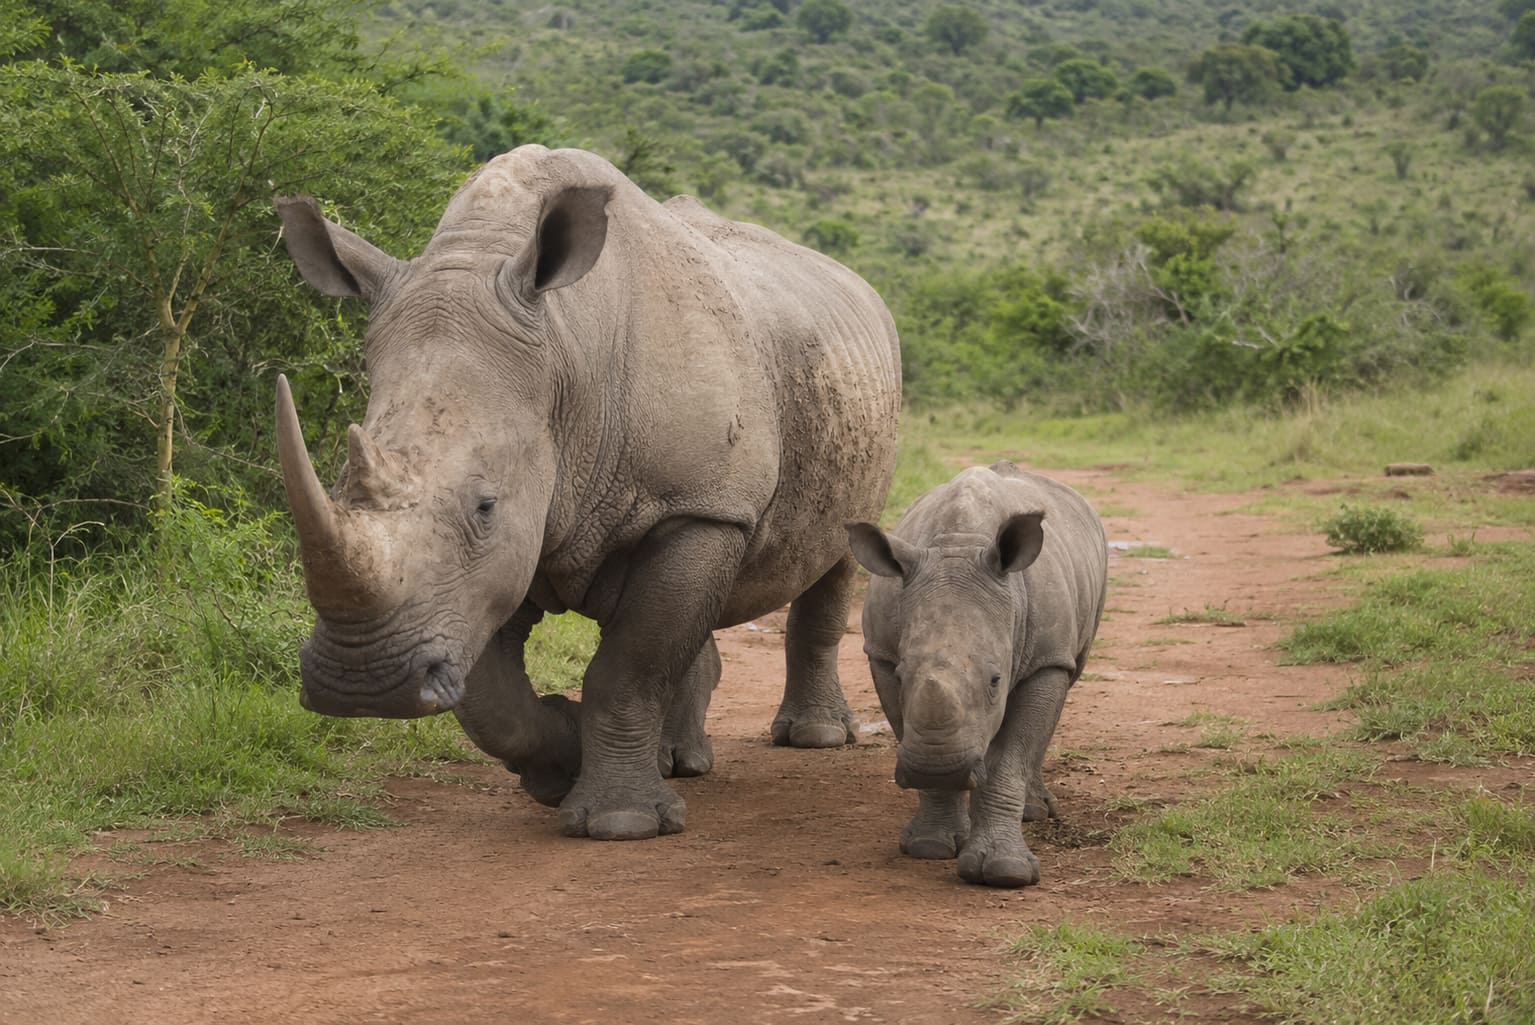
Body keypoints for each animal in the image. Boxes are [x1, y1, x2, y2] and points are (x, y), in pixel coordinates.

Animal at [273, 145, 901, 841]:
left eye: (485, 506)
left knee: (838, 554)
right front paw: (560, 762)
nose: (362, 682)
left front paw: (621, 823)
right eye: (338, 486)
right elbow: (491, 697)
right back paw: (678, 762)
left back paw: (815, 738)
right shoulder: (496, 558)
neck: (566, 350)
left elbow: (631, 666)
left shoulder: (700, 508)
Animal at [847, 462, 1106, 886]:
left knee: (1066, 682)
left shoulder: (1047, 659)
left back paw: (1034, 811)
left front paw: (1005, 872)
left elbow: (1011, 757)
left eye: (995, 680)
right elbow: (906, 722)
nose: (938, 767)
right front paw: (930, 845)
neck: (959, 544)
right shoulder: (880, 654)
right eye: (901, 677)